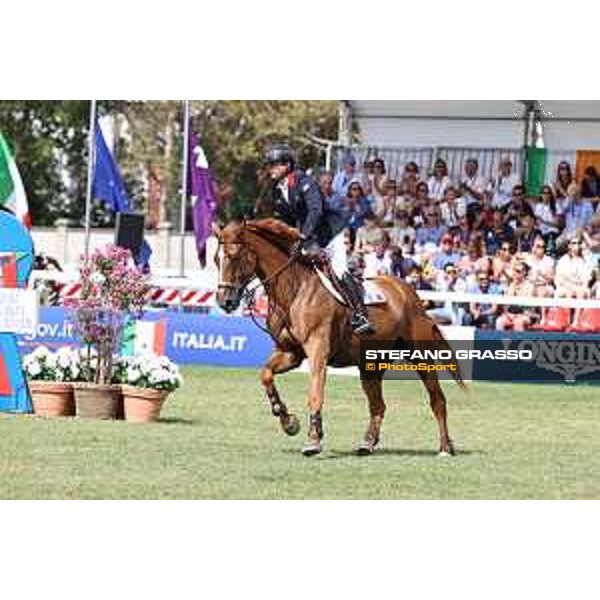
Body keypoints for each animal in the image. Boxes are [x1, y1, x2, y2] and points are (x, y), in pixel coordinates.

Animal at [213, 218, 466, 458]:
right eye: (216, 259)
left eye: (234, 256)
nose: (224, 301)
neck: (294, 290)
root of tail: (409, 293)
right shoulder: (290, 353)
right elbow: (265, 375)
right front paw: (288, 421)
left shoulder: (318, 351)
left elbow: (315, 393)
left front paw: (313, 440)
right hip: (371, 364)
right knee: (378, 406)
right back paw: (367, 444)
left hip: (420, 355)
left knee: (437, 400)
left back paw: (445, 447)